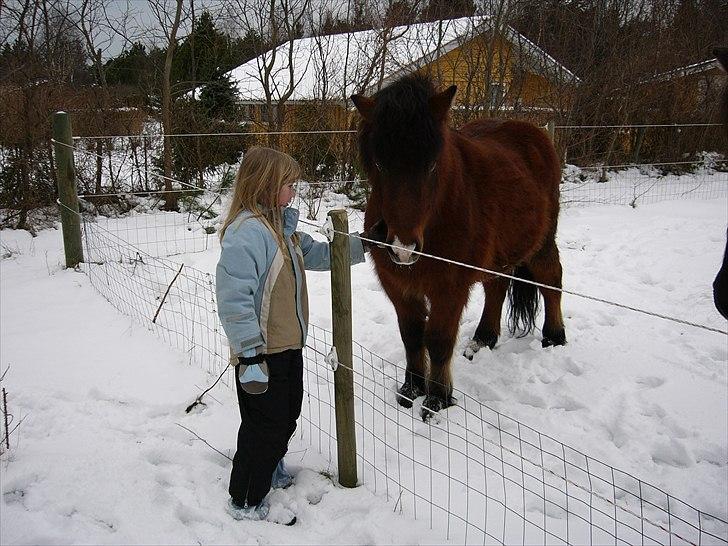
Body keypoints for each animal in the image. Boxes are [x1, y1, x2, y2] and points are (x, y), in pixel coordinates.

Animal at [352, 74, 568, 418]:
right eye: (380, 164)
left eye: (431, 165)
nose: (402, 248)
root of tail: (534, 132)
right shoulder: (398, 286)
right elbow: (412, 336)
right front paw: (410, 389)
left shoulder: (449, 288)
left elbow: (438, 340)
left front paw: (437, 400)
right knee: (497, 288)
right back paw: (482, 339)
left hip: (541, 243)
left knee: (551, 280)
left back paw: (554, 337)